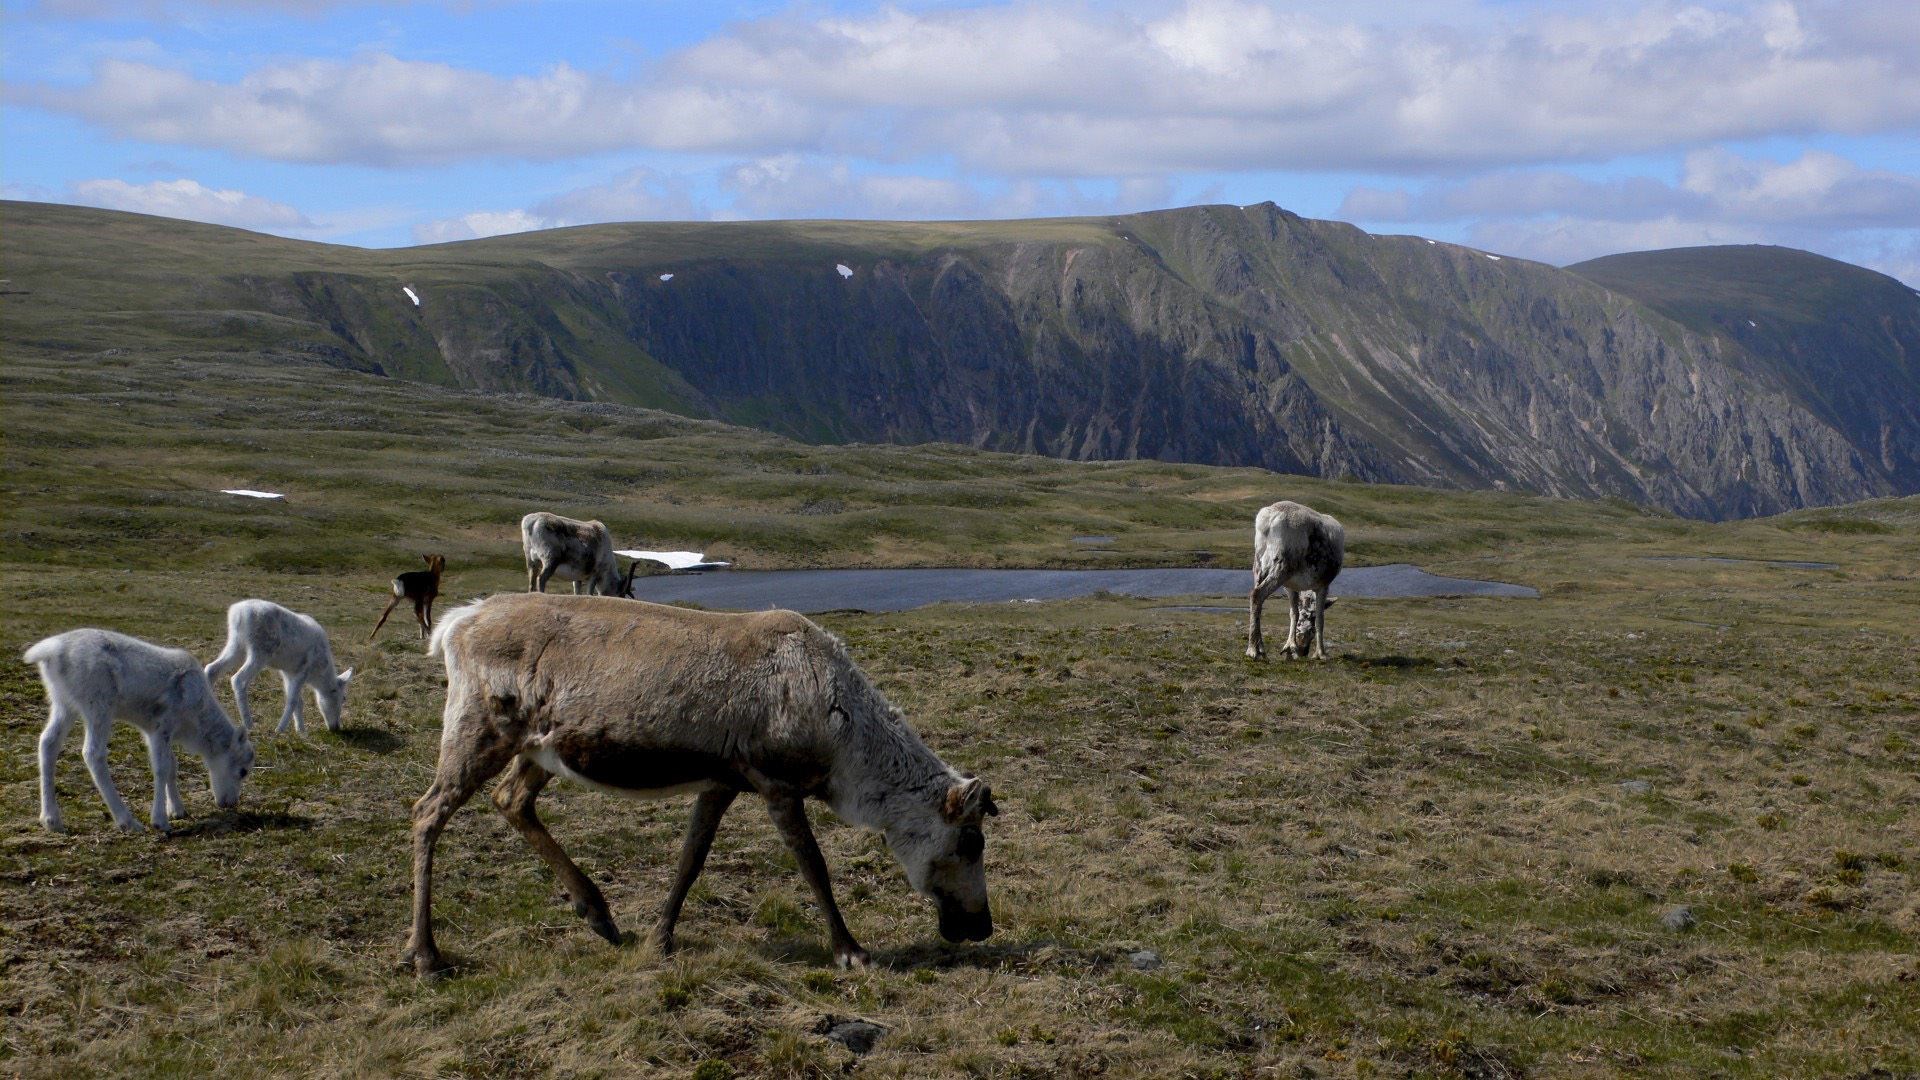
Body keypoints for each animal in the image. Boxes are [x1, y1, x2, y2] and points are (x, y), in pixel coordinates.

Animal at [24, 626, 255, 826]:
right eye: (243, 771)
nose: (230, 803)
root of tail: (51, 651)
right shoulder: (162, 727)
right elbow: (162, 768)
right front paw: (160, 820)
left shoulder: (152, 731)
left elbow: (172, 766)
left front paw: (177, 810)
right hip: (98, 708)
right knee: (92, 753)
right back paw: (127, 821)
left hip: (63, 704)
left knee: (48, 743)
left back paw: (51, 820)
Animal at [205, 595, 353, 730]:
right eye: (343, 698)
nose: (336, 727)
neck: (318, 674)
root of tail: (237, 613)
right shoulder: (303, 669)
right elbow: (293, 701)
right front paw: (280, 730)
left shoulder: (288, 672)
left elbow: (297, 701)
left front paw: (301, 732)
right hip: (260, 651)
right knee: (238, 679)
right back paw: (248, 724)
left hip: (236, 645)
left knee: (211, 668)